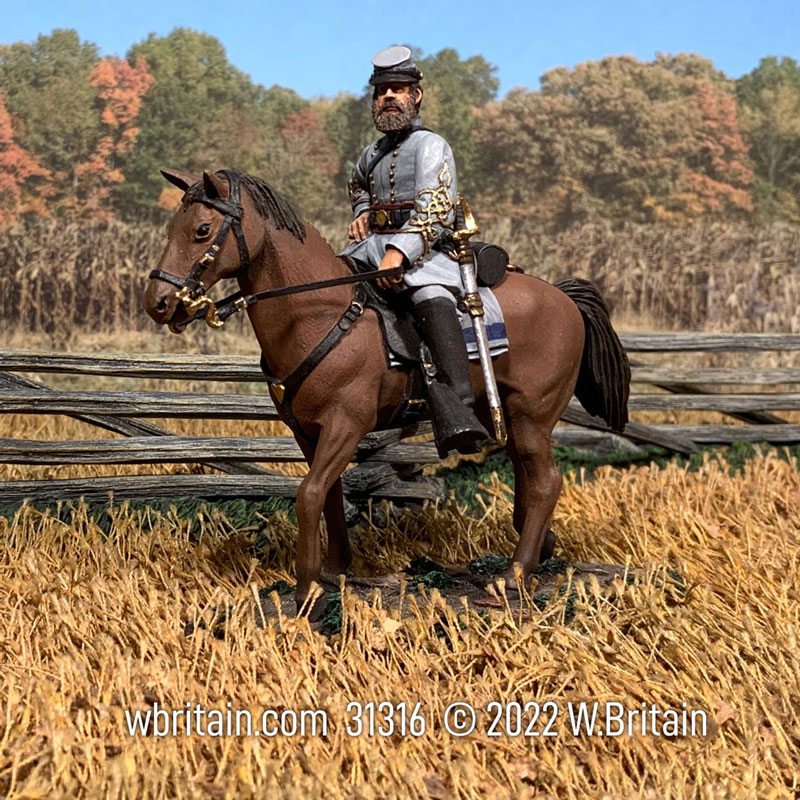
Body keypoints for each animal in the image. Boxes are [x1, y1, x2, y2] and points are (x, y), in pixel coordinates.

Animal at [145, 169, 632, 616]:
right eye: (169, 230)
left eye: (202, 230)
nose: (158, 304)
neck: (322, 313)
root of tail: (564, 298)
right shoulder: (308, 434)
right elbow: (329, 496)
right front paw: (335, 571)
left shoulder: (345, 427)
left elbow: (308, 494)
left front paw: (307, 590)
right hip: (511, 416)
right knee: (529, 479)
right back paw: (539, 550)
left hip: (533, 416)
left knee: (547, 481)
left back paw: (514, 574)